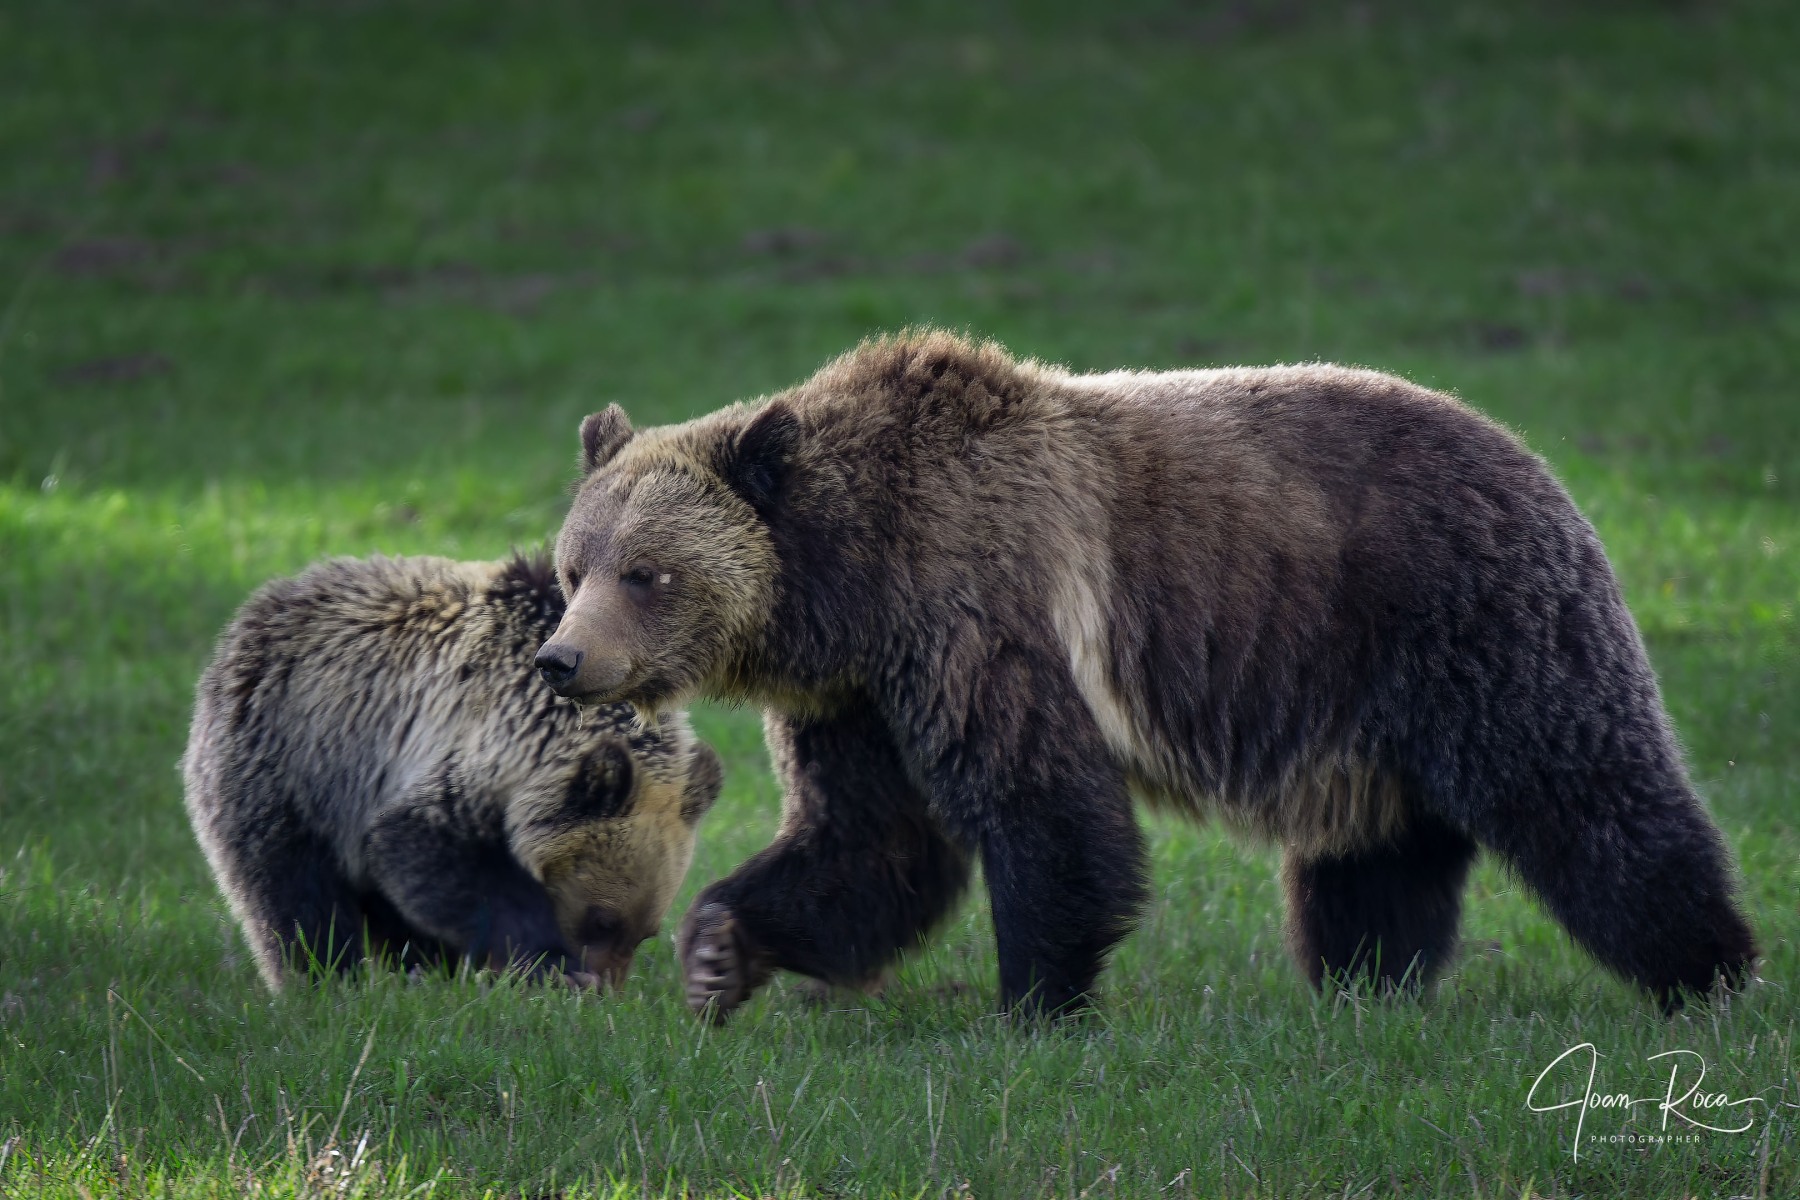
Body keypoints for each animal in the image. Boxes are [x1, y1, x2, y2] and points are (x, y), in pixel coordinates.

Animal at [182, 550, 716, 993]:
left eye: (645, 932)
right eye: (601, 920)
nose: (607, 989)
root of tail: (258, 609)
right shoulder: (465, 745)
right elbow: (426, 852)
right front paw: (550, 966)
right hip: (292, 762)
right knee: (292, 892)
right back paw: (324, 979)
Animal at [529, 331, 1756, 1021]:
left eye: (647, 572)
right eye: (576, 564)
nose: (565, 658)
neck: (853, 582)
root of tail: (1529, 454)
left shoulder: (980, 619)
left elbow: (1047, 814)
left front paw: (1035, 1004)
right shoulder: (863, 696)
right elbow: (873, 841)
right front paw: (719, 951)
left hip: (1472, 625)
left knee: (1588, 796)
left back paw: (1710, 974)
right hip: (1362, 715)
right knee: (1374, 859)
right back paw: (1365, 986)